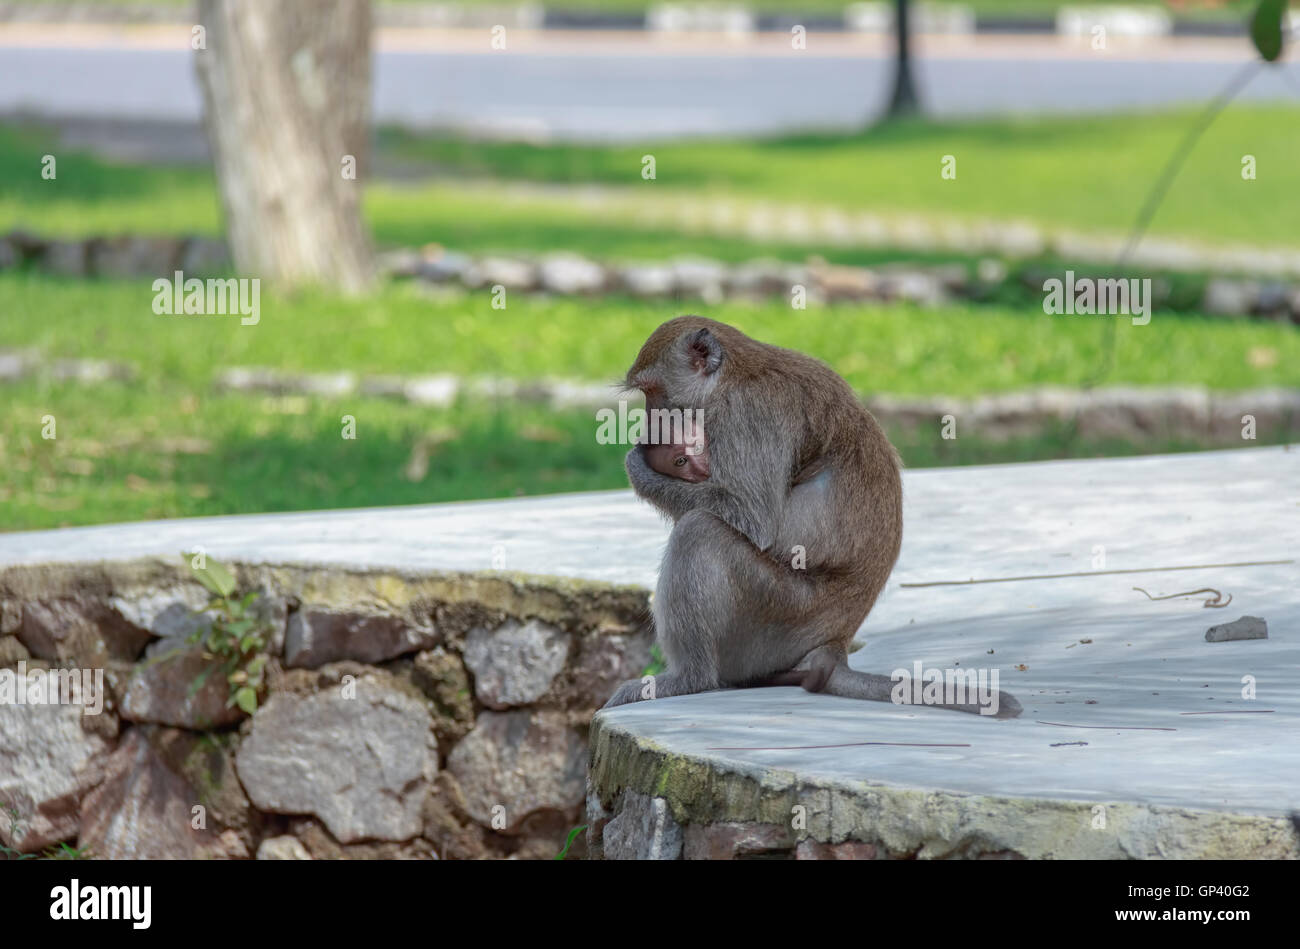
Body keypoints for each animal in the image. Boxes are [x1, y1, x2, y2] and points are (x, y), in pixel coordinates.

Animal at [603, 318, 1019, 717]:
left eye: (651, 391)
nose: (650, 422)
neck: (734, 375)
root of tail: (837, 642)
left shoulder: (748, 417)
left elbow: (753, 518)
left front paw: (637, 468)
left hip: (780, 616)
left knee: (699, 532)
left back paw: (690, 679)